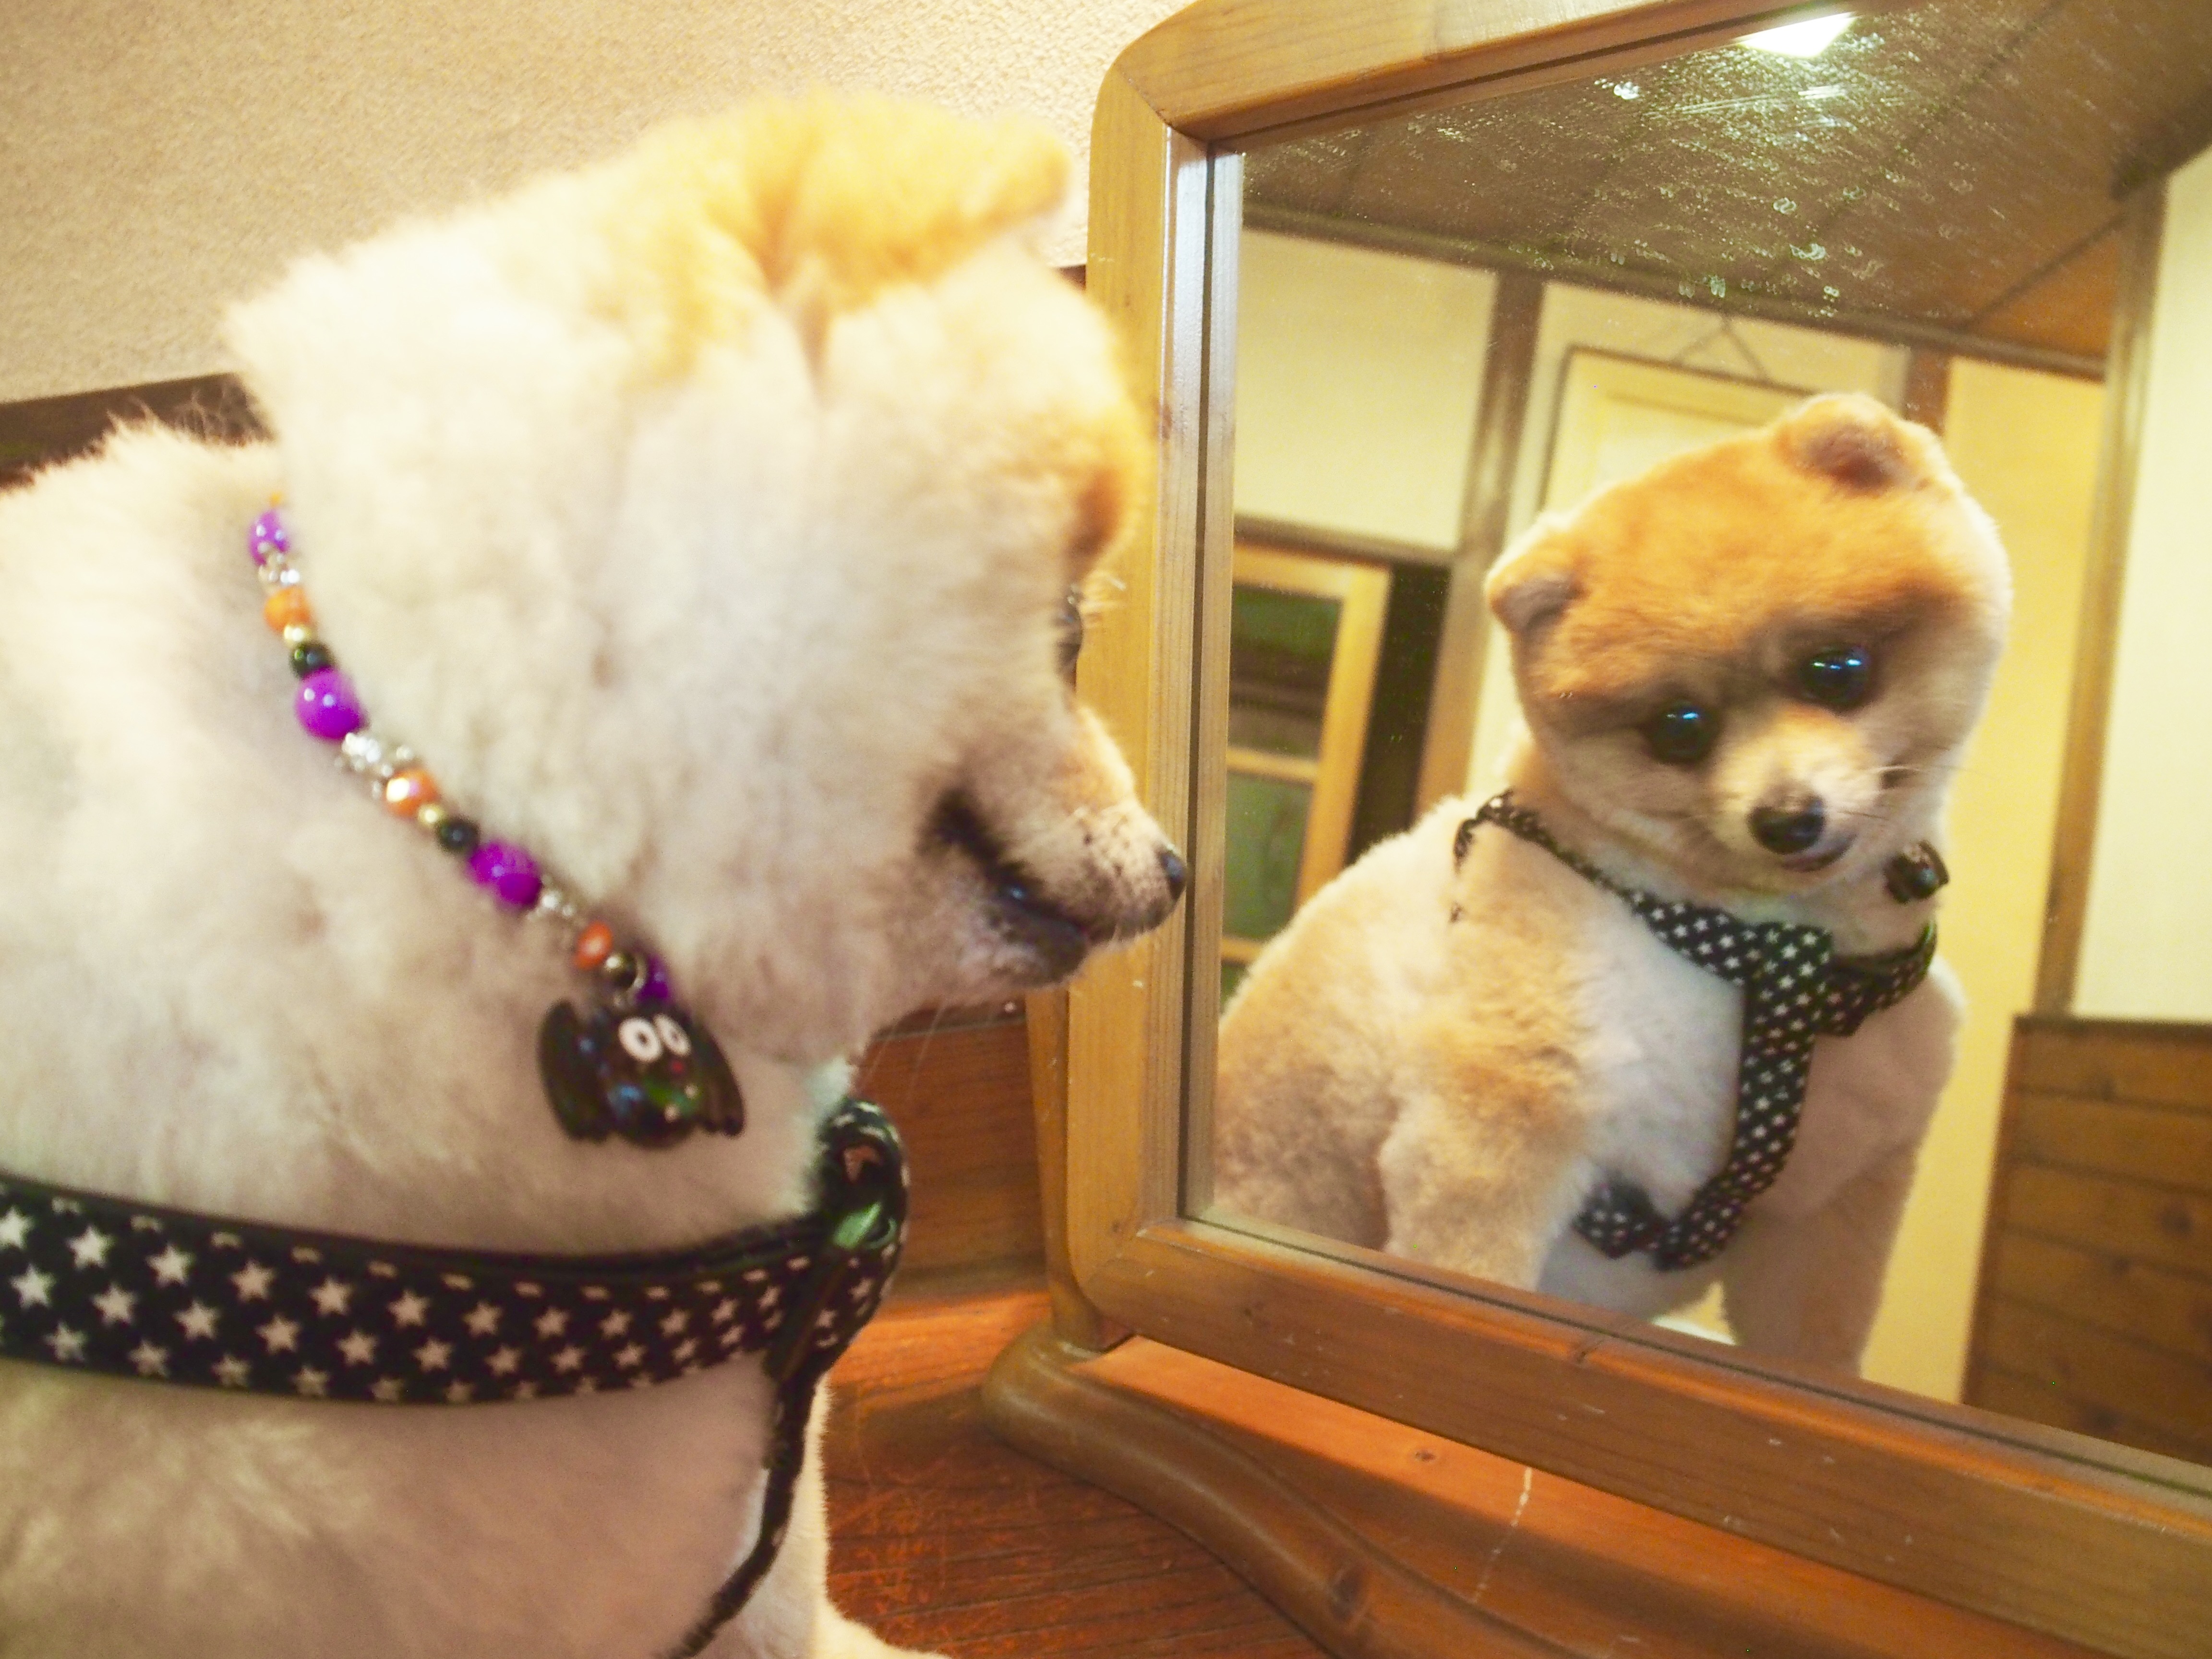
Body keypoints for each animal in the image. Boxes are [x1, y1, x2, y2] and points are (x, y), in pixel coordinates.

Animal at [1221, 400, 2017, 1380]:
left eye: (1838, 670)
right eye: (1678, 729)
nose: (1786, 818)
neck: (1763, 958)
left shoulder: (1830, 1206)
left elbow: (1817, 1350)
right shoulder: (1494, 1139)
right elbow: (1468, 1268)